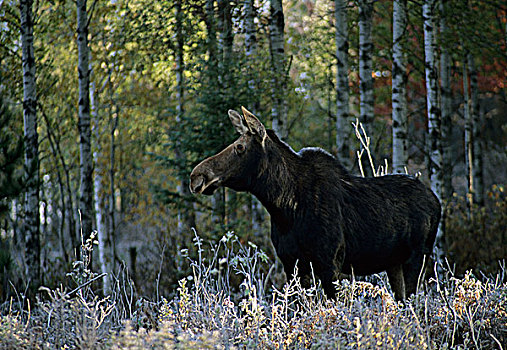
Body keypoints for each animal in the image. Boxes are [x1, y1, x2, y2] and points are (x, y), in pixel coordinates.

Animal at [190, 107, 440, 300]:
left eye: (240, 147)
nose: (196, 176)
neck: (283, 208)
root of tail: (436, 201)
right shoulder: (292, 264)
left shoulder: (330, 264)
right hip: (394, 262)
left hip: (418, 257)